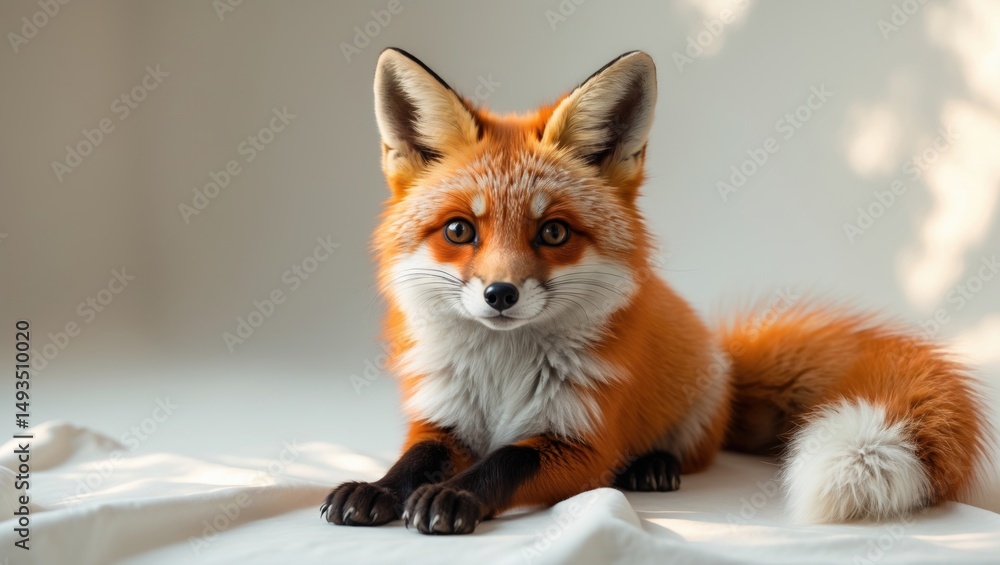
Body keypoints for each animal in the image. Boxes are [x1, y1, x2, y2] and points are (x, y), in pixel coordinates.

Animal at [320, 48, 990, 535]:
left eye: (553, 231)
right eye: (460, 230)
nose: (500, 294)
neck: (501, 374)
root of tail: (723, 353)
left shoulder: (583, 444)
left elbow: (506, 460)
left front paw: (454, 496)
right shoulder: (441, 418)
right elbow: (413, 460)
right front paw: (376, 489)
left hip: (695, 409)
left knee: (694, 452)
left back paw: (654, 466)